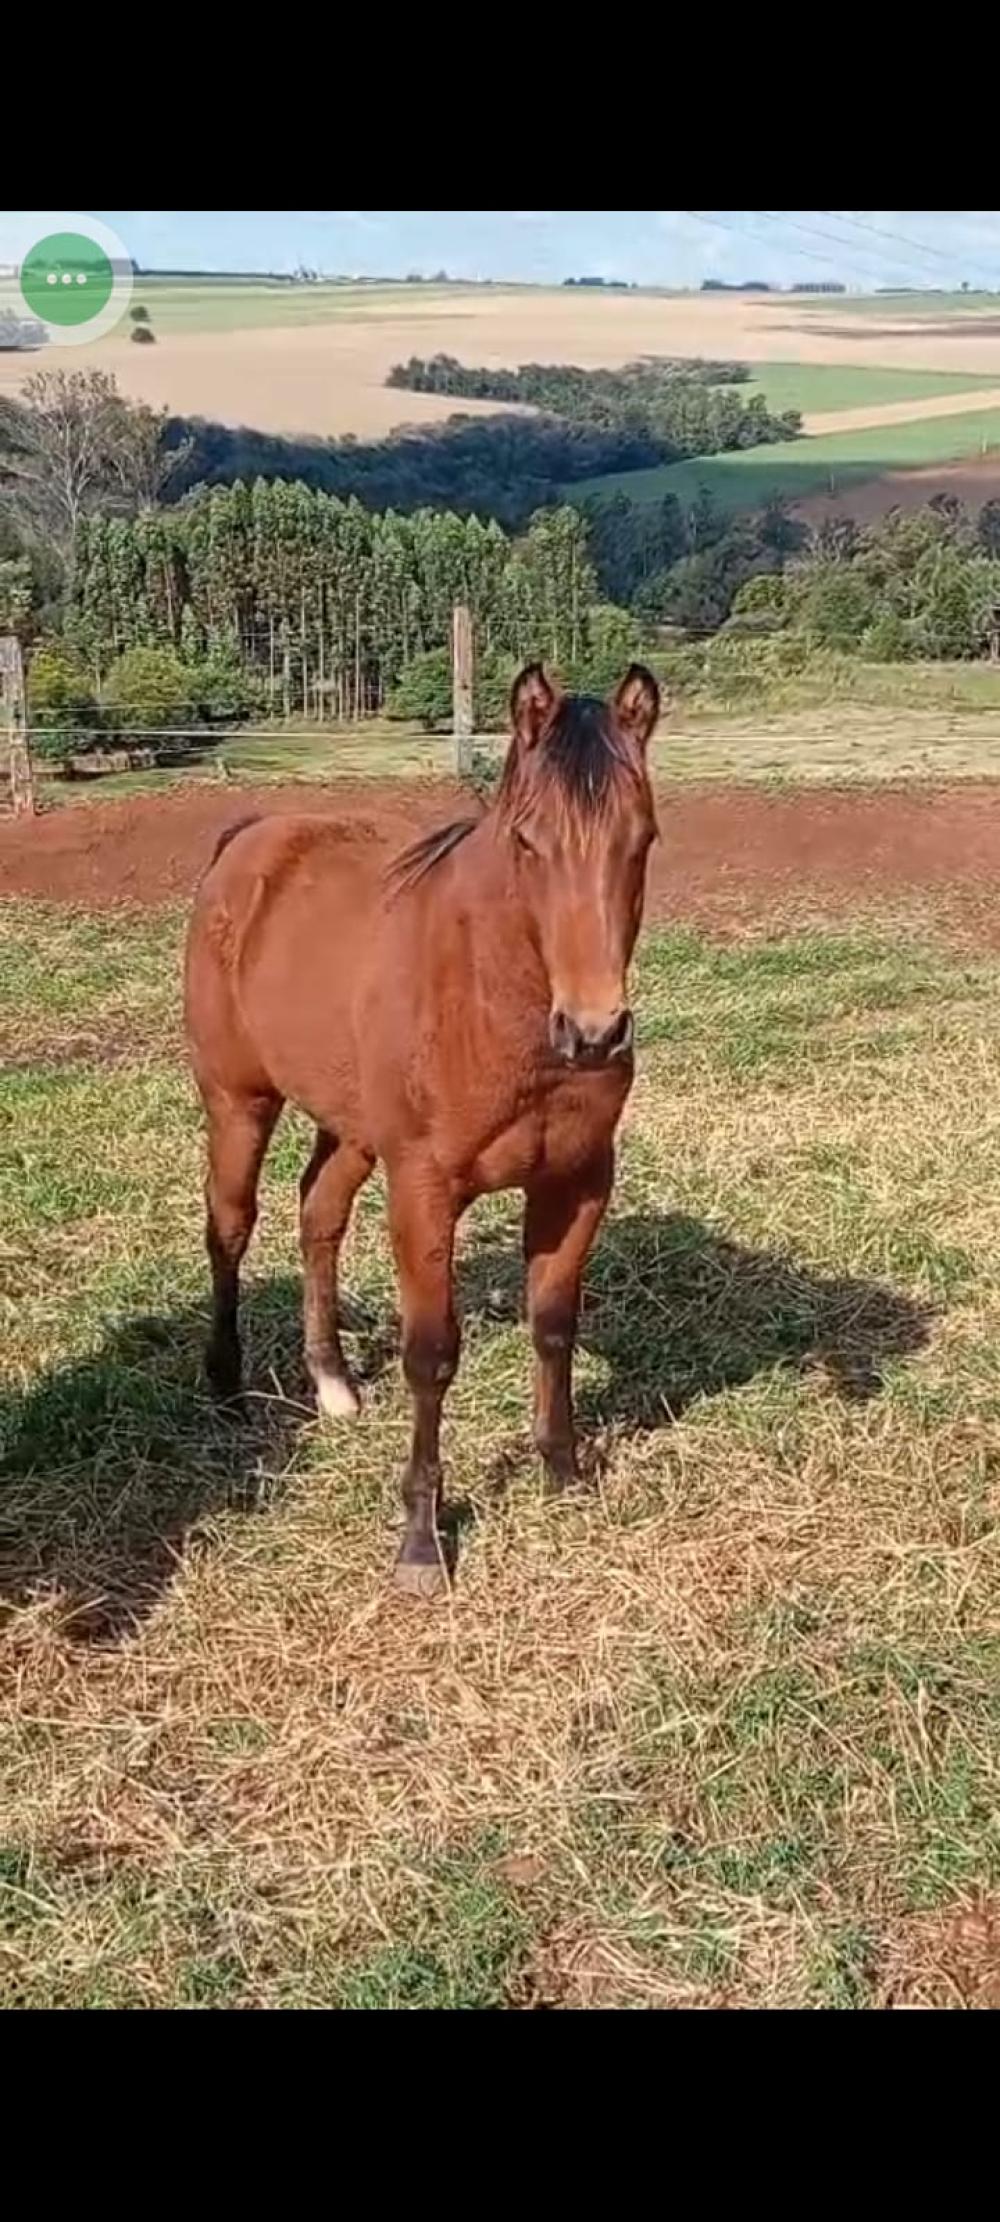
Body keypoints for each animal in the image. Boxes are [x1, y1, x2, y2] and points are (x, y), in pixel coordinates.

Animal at [184, 661, 660, 1597]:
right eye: (528, 843)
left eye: (644, 839)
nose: (593, 1032)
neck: (489, 999)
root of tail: (248, 840)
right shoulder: (425, 1191)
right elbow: (432, 1355)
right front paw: (420, 1543)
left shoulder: (578, 1182)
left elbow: (555, 1325)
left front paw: (563, 1472)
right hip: (238, 1103)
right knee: (231, 1226)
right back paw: (225, 1387)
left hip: (352, 1128)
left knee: (318, 1213)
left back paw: (333, 1383)